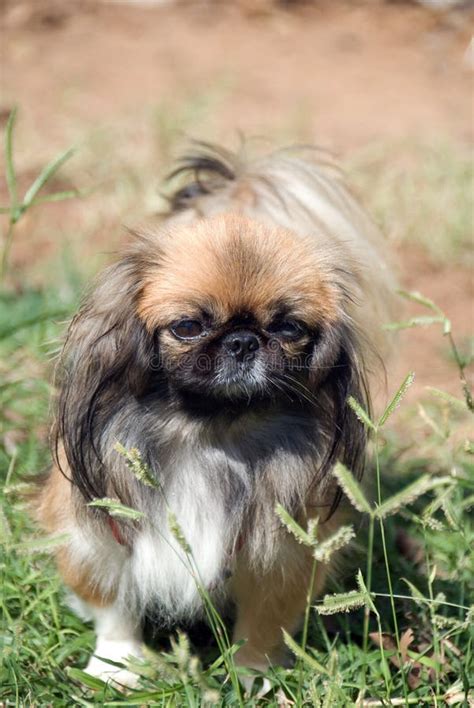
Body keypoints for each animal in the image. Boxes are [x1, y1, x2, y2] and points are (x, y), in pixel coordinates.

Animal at [35, 141, 394, 688]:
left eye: (289, 328)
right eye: (188, 326)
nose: (243, 340)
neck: (210, 432)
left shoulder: (279, 553)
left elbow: (262, 623)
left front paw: (253, 675)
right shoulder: (100, 539)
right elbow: (115, 606)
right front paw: (118, 666)